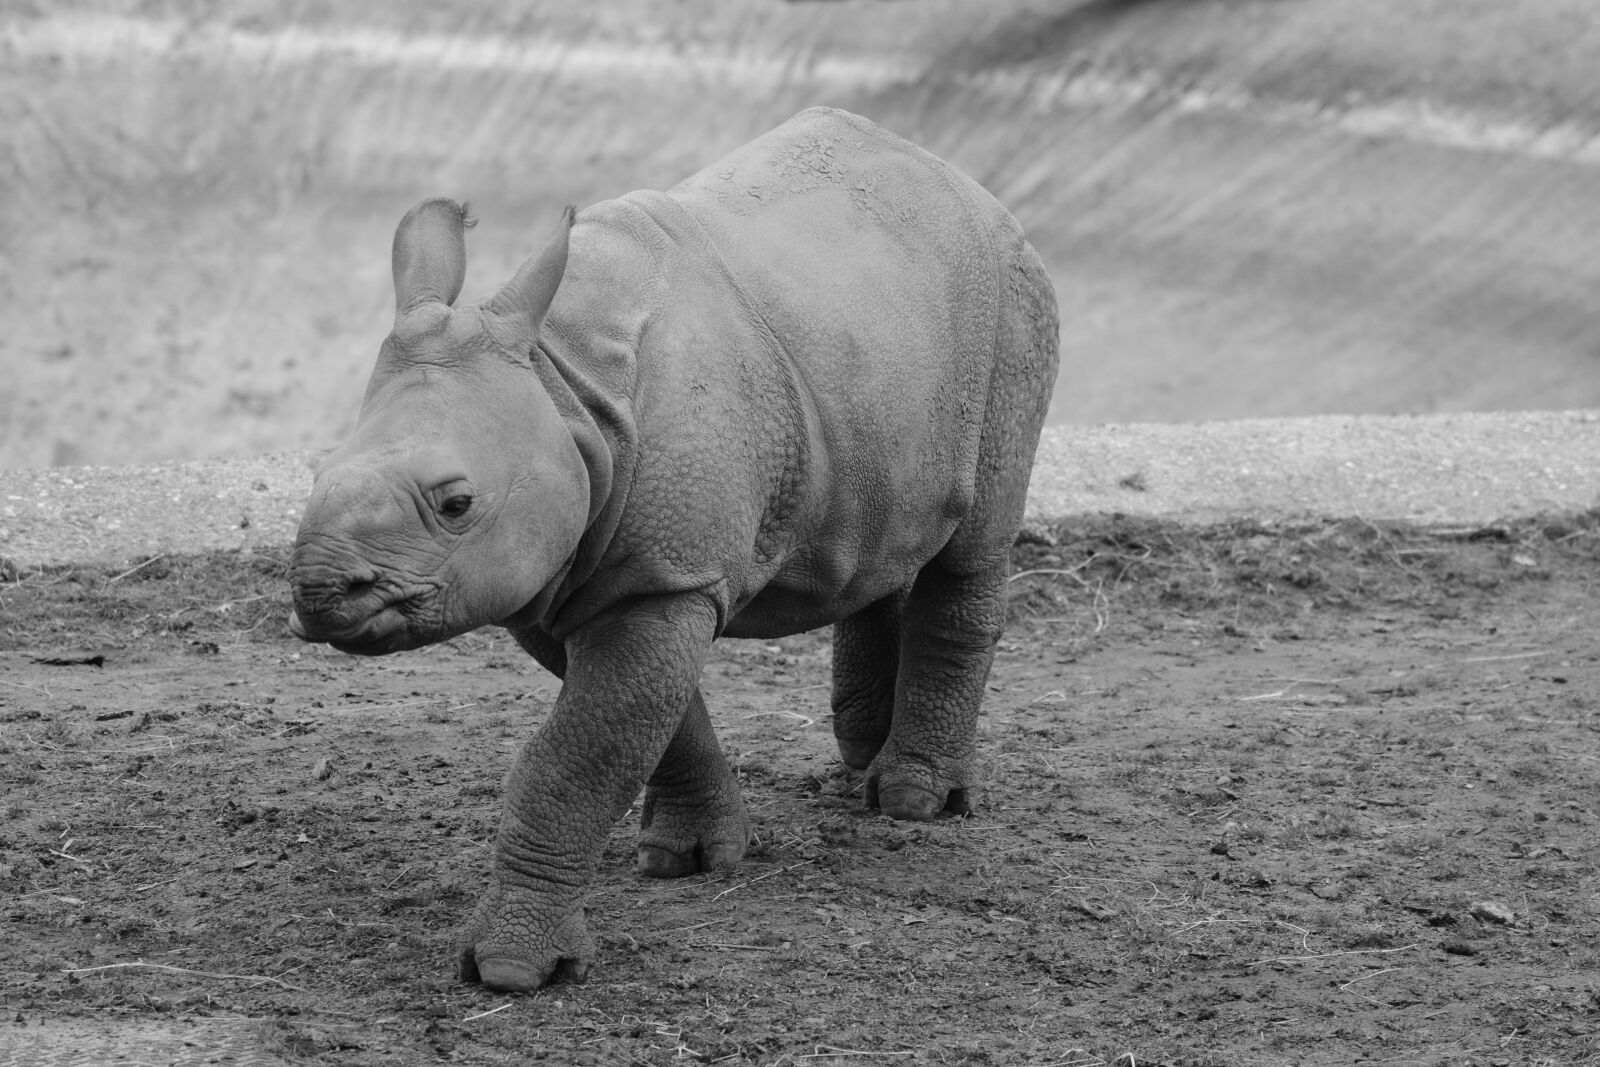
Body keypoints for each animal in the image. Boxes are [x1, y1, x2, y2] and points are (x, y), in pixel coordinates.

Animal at [287, 106, 1059, 991]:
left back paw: (914, 802)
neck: (559, 382)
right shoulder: (585, 577)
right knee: (887, 534)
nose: (319, 593)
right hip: (879, 333)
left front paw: (513, 970)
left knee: (975, 539)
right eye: (317, 472)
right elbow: (650, 721)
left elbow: (576, 758)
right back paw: (860, 766)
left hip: (1013, 300)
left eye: (456, 504)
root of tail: (959, 177)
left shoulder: (657, 576)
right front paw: (688, 857)